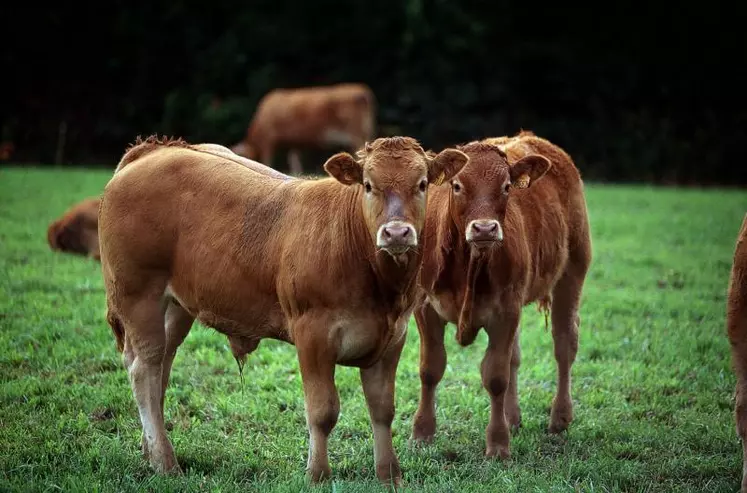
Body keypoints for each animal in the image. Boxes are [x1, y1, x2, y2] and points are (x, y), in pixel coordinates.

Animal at [99, 134, 468, 480]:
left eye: (422, 184)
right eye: (368, 185)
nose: (396, 233)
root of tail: (155, 150)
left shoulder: (393, 337)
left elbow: (382, 409)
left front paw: (389, 474)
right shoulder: (313, 334)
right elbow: (322, 411)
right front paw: (318, 474)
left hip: (177, 307)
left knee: (160, 365)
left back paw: (150, 450)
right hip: (139, 296)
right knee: (144, 370)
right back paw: (165, 461)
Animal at [231, 83, 376, 176]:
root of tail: (360, 90)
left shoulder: (268, 140)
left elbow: (267, 160)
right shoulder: (293, 143)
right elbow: (294, 161)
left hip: (355, 133)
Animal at [412, 130, 592, 458]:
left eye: (506, 186)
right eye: (457, 185)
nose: (484, 228)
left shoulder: (506, 311)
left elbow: (496, 376)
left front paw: (497, 444)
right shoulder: (425, 307)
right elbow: (431, 369)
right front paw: (422, 433)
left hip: (572, 271)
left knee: (564, 345)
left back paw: (560, 418)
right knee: (516, 357)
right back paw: (513, 416)